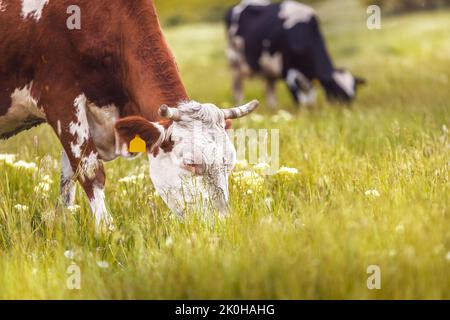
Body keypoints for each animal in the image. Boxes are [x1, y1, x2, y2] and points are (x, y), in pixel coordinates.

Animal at [0, 0, 258, 230]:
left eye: (229, 163)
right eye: (191, 163)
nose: (223, 224)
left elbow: (68, 178)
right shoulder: (61, 98)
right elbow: (90, 172)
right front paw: (107, 232)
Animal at [225, 0, 366, 108]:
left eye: (353, 93)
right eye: (337, 91)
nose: (347, 110)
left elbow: (310, 99)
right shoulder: (288, 72)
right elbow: (300, 101)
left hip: (267, 66)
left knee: (270, 88)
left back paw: (272, 107)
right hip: (234, 61)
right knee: (237, 87)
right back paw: (239, 103)